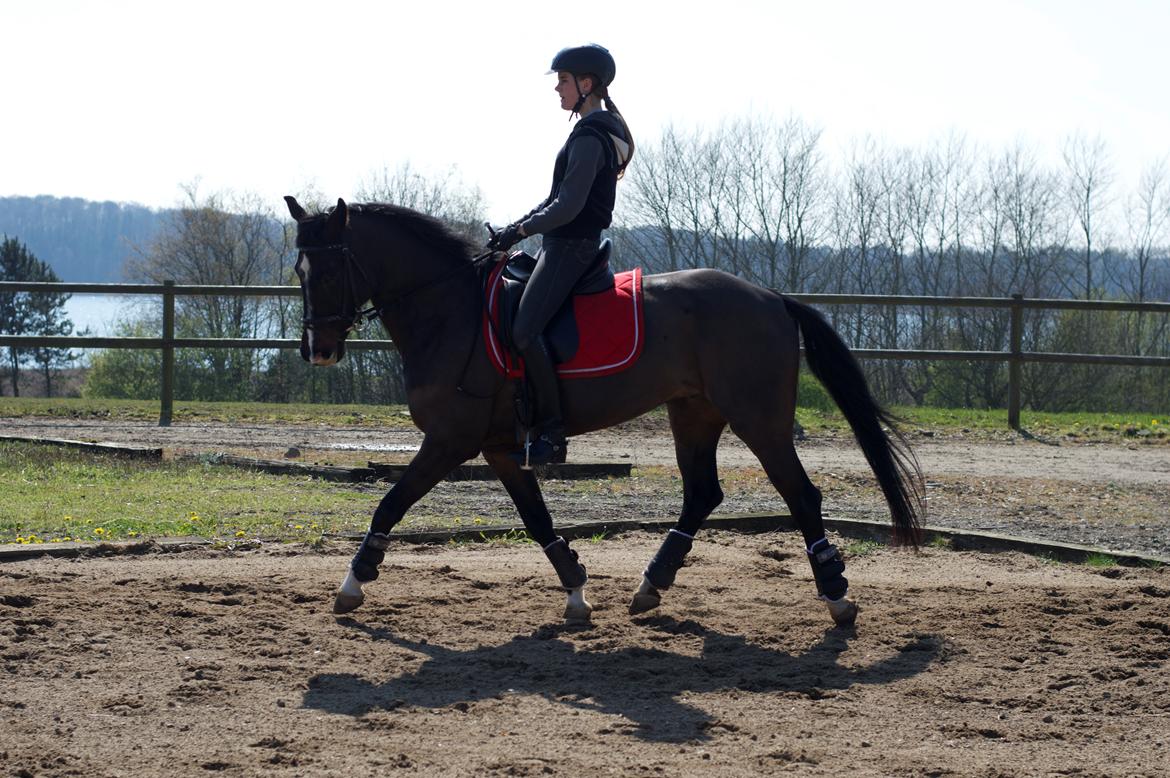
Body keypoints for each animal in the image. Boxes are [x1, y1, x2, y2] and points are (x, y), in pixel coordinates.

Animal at [284, 196, 924, 627]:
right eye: (299, 271)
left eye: (332, 269)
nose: (317, 350)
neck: (450, 309)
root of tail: (771, 298)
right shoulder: (499, 447)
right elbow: (537, 520)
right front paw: (575, 592)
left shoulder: (450, 440)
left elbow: (390, 504)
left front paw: (352, 585)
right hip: (693, 413)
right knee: (702, 493)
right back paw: (650, 586)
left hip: (758, 420)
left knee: (801, 495)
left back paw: (837, 596)